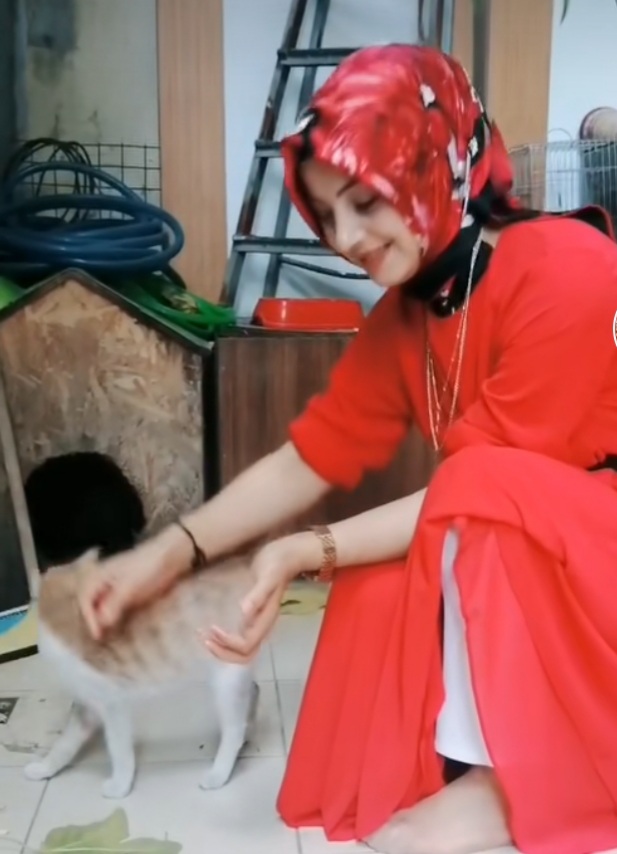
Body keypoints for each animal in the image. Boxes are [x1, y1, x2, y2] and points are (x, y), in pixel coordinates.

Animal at [24, 548, 259, 798]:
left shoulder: (113, 704)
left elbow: (118, 747)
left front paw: (120, 785)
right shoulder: (86, 705)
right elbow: (64, 743)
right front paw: (44, 768)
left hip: (226, 676)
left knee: (234, 728)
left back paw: (219, 772)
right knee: (253, 692)